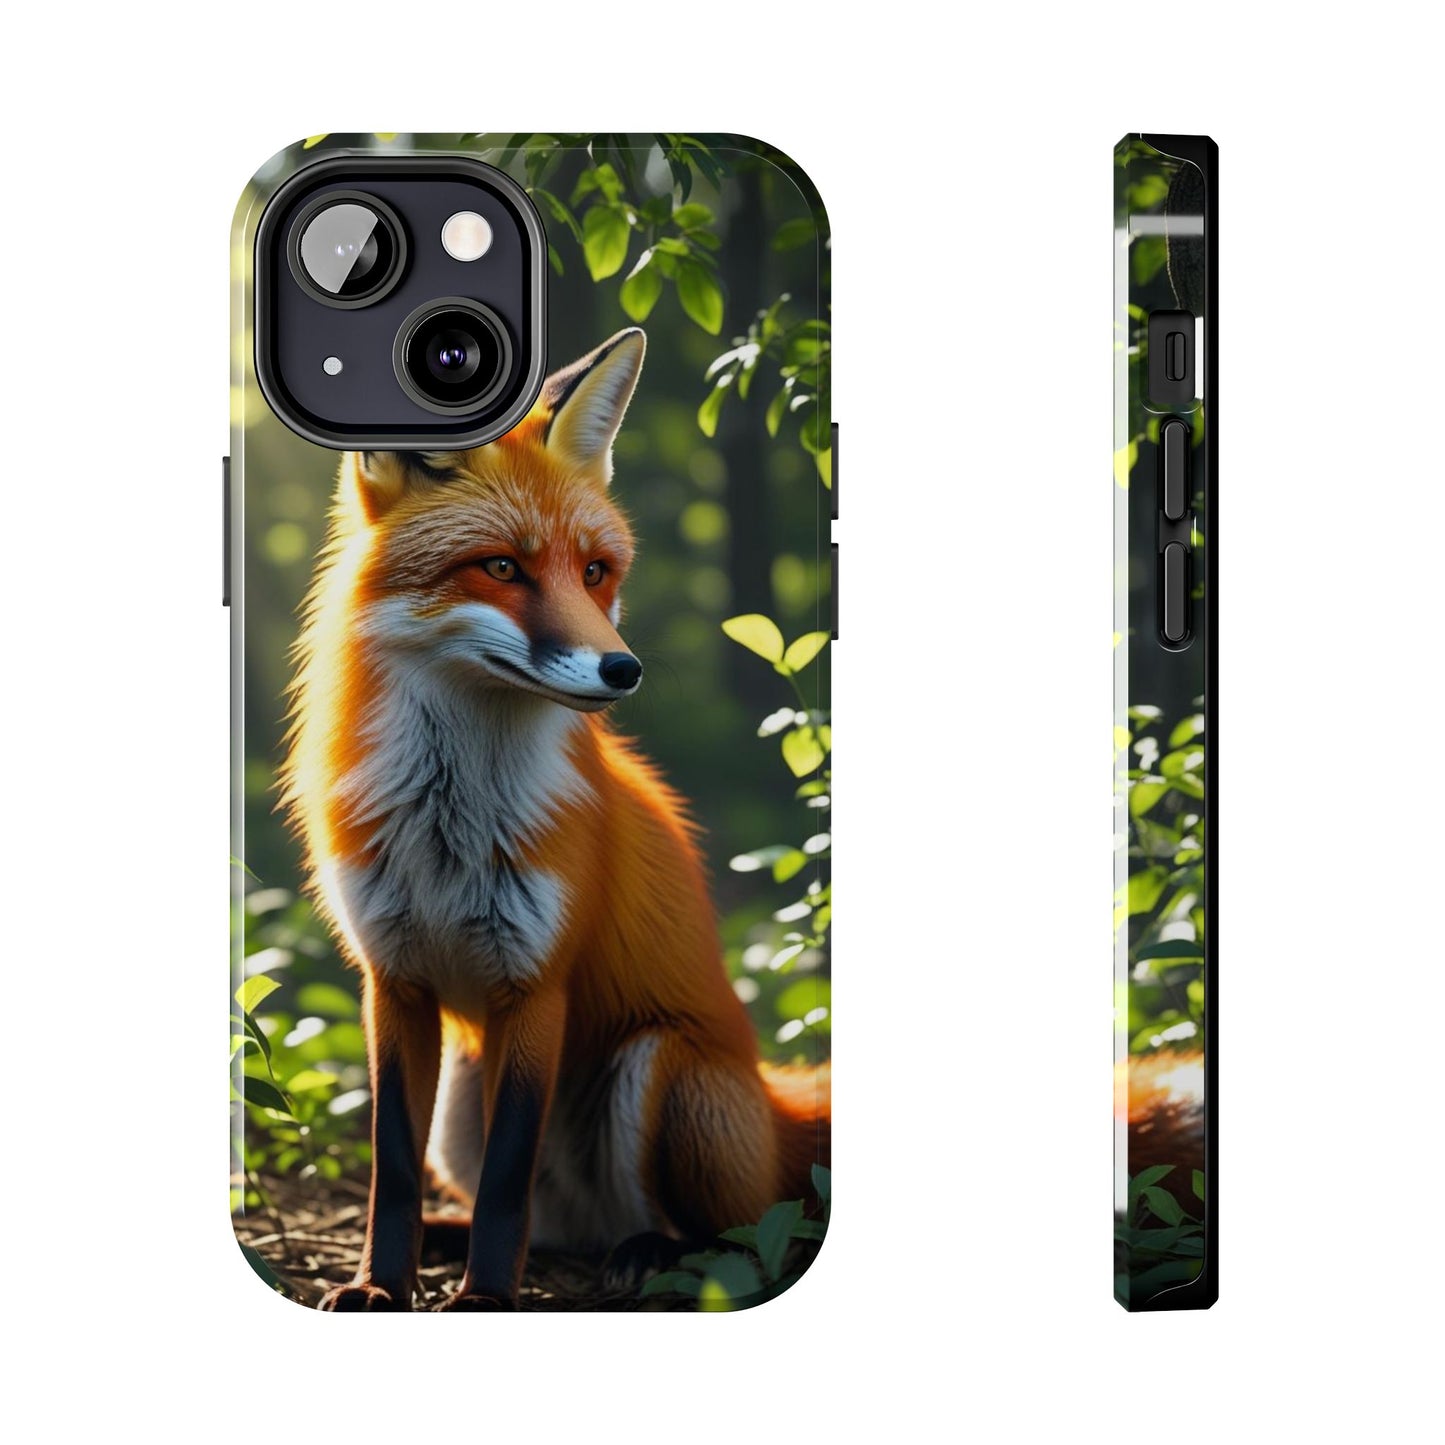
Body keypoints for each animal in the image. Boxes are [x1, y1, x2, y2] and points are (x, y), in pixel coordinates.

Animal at [281, 327, 829, 1311]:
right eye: (502, 566)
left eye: (595, 572)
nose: (623, 669)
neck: (447, 829)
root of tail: (774, 1103)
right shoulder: (394, 981)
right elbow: (392, 1164)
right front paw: (380, 1283)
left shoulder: (535, 985)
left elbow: (507, 1175)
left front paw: (485, 1299)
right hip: (461, 1099)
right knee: (549, 1222)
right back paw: (455, 1234)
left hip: (660, 1072)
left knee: (729, 1234)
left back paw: (646, 1252)